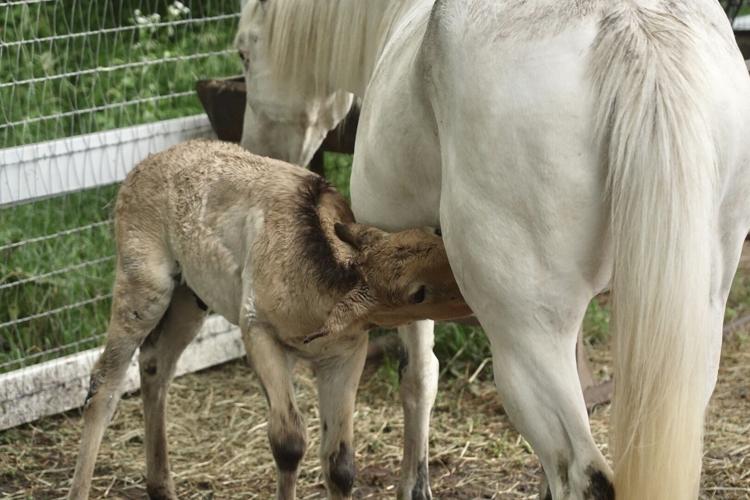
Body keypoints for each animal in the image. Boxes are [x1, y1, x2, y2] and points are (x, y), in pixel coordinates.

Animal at [234, 1, 750, 498]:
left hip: (524, 342)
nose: (253, 150)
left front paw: (414, 487)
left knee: (583, 475)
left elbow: (419, 379)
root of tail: (631, 27)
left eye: (244, 51)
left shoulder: (403, 286)